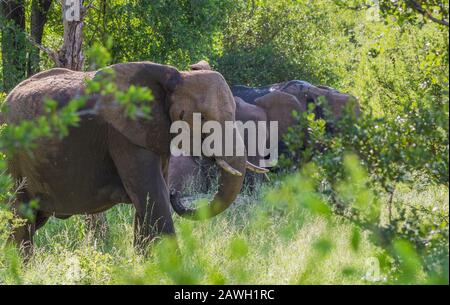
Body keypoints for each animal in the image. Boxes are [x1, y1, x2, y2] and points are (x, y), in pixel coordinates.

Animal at [3, 60, 264, 253]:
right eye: (202, 118)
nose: (176, 193)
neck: (174, 76)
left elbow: (146, 203)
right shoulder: (123, 136)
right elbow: (154, 197)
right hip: (13, 159)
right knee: (21, 218)